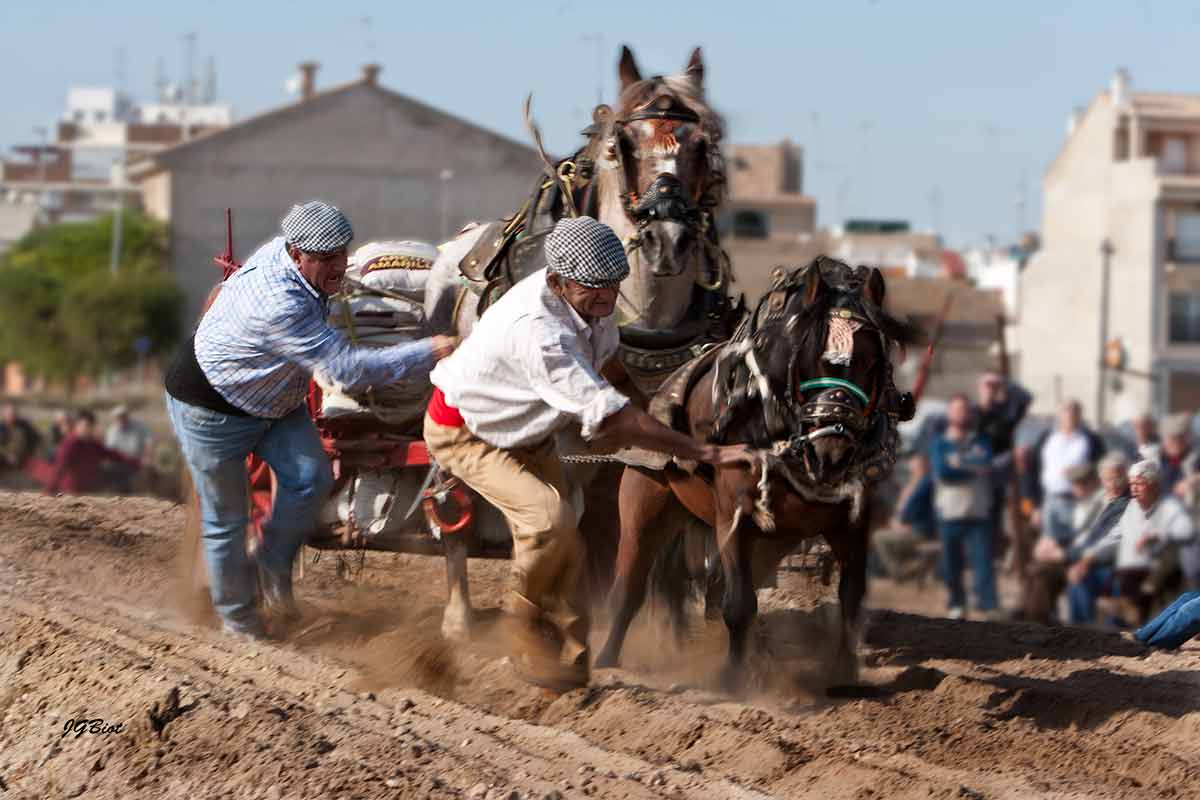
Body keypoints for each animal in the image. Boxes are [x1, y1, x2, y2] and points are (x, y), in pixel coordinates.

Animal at [590, 256, 916, 690]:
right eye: (808, 357)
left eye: (871, 362)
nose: (832, 450)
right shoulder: (734, 517)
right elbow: (739, 603)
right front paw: (732, 680)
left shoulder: (852, 520)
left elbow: (851, 596)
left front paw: (844, 674)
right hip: (646, 504)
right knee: (630, 586)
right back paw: (607, 660)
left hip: (771, 539)